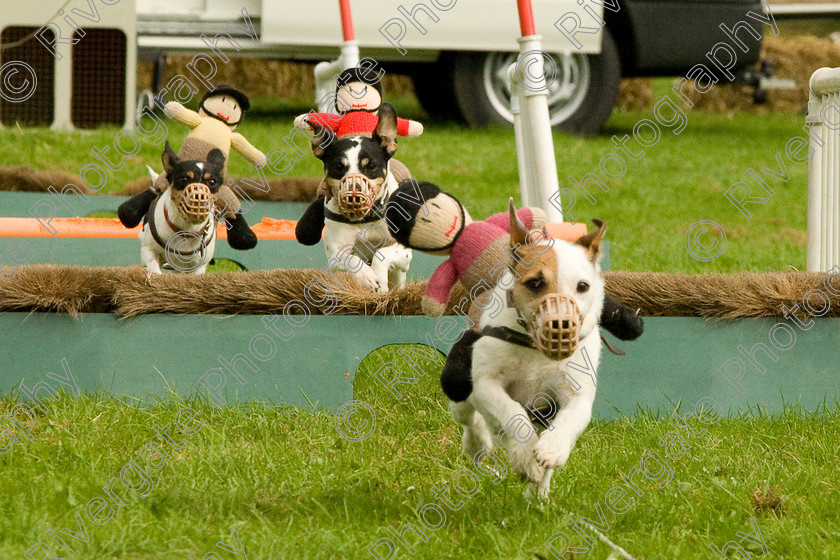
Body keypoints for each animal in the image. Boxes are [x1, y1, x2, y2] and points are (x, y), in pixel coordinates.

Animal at [141, 142, 226, 276]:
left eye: (212, 182)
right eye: (184, 179)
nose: (199, 196)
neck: (186, 228)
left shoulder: (199, 266)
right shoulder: (148, 250)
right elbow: (155, 271)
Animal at [446, 202, 604, 498]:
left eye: (583, 286)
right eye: (534, 283)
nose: (561, 324)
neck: (535, 350)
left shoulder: (576, 392)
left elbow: (570, 418)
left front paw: (549, 453)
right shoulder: (486, 383)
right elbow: (513, 413)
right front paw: (525, 458)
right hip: (459, 392)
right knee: (471, 420)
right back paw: (478, 444)